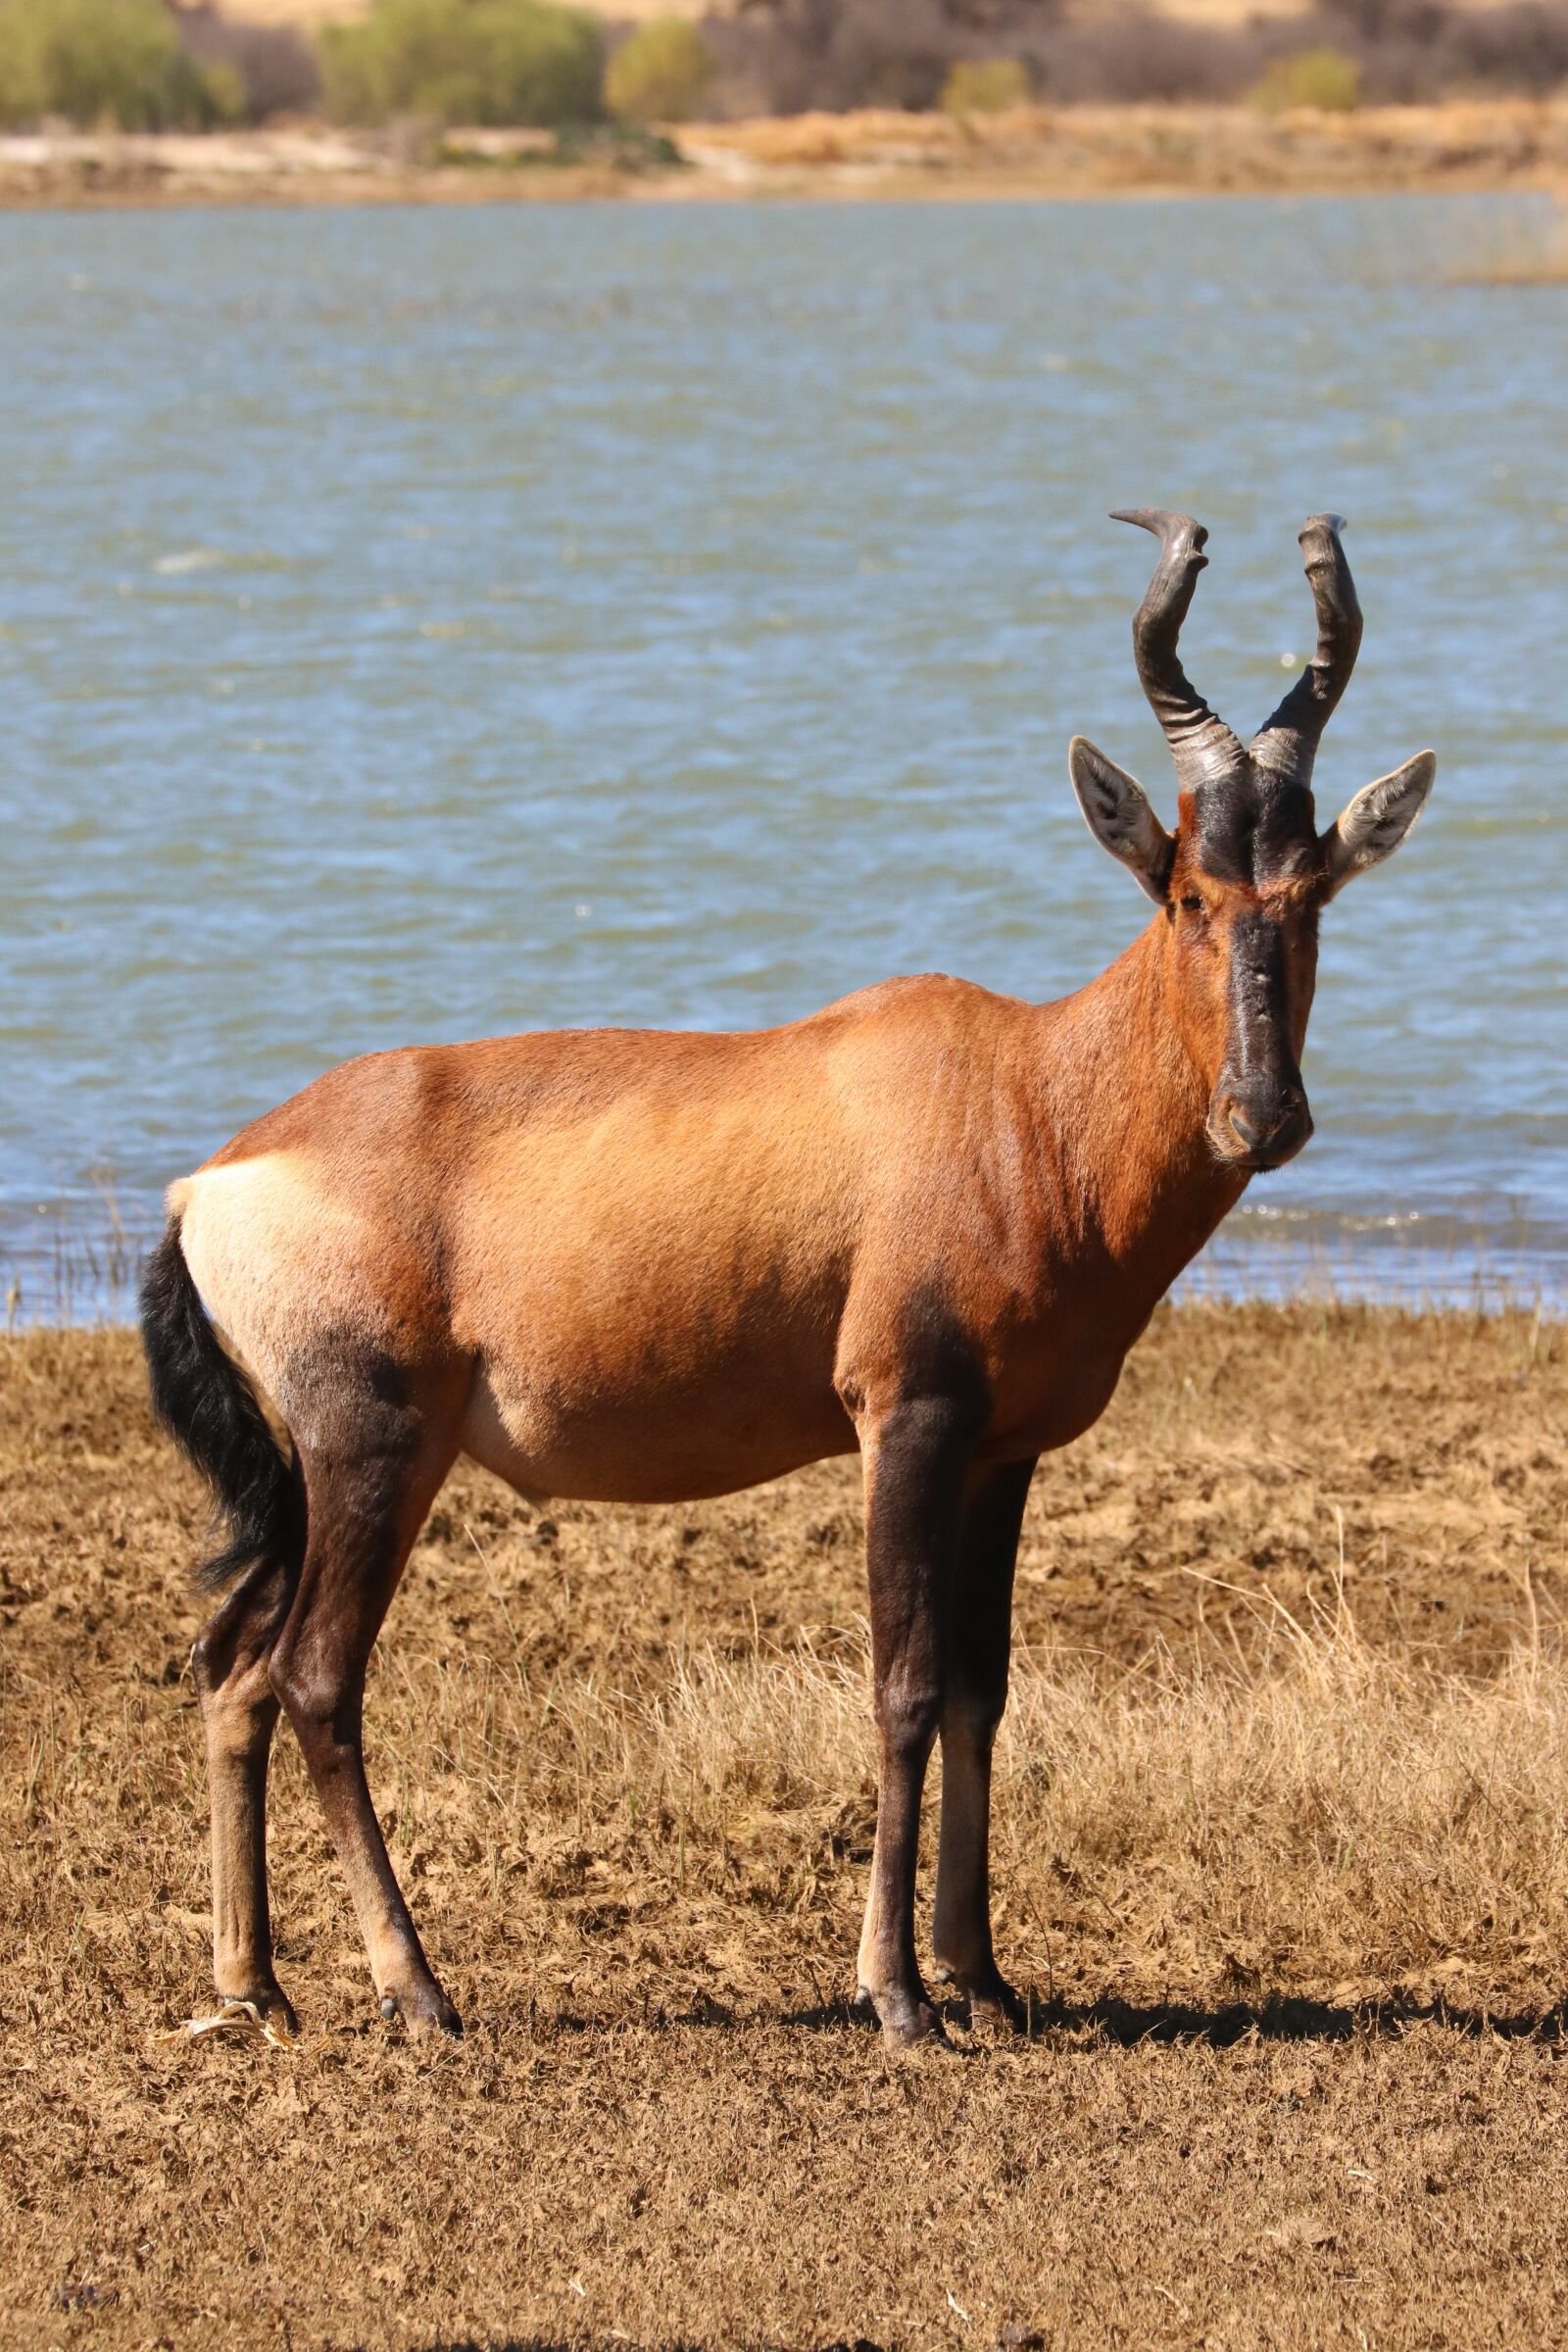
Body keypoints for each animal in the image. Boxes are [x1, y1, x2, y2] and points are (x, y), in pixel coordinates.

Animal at [143, 510, 1439, 2041]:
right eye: (1185, 889)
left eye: (1312, 892)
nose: (1265, 1116)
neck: (1018, 1089)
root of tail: (215, 1179)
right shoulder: (905, 1422)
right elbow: (904, 1685)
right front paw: (898, 1997)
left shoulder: (1002, 1454)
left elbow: (984, 1690)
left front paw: (983, 1977)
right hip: (371, 1449)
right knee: (315, 1677)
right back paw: (418, 1991)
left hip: (309, 1471)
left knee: (231, 1663)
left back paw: (255, 1987)